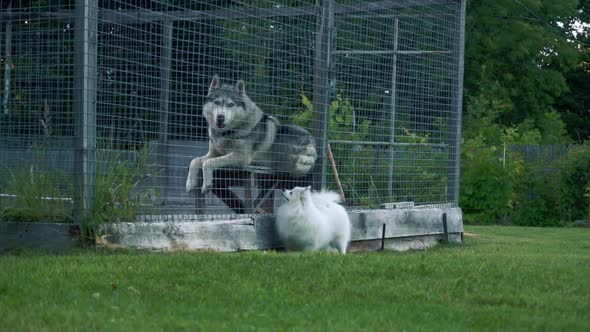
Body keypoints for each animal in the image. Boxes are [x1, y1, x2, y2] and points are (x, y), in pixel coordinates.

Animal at [188, 74, 320, 195]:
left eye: (231, 104)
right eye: (217, 102)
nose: (221, 117)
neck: (226, 133)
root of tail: (312, 139)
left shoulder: (242, 156)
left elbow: (208, 163)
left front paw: (206, 185)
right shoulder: (213, 153)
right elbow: (195, 161)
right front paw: (190, 183)